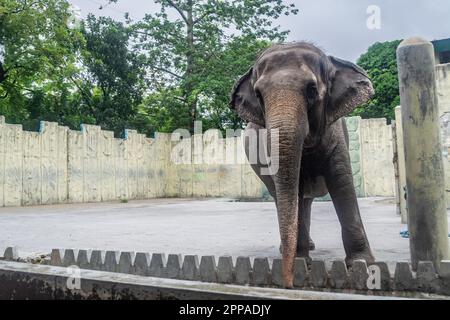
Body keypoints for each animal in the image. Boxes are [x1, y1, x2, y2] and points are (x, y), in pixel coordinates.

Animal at [230, 41, 374, 288]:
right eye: (258, 95)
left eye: (312, 90)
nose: (287, 282)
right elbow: (292, 187)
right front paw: (299, 262)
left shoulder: (334, 131)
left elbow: (341, 182)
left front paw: (362, 264)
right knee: (284, 196)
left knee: (304, 200)